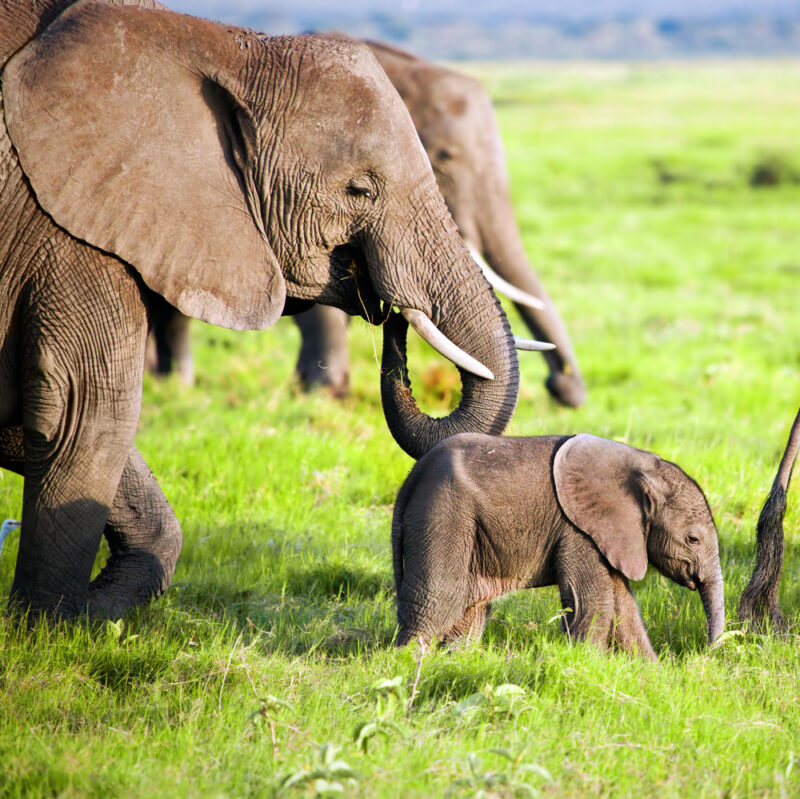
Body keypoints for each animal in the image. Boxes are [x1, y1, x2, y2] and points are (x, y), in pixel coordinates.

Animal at [392, 433, 725, 658]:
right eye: (692, 539)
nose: (704, 654)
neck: (642, 464)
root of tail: (411, 478)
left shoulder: (610, 534)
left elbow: (623, 605)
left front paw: (650, 675)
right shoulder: (579, 529)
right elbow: (594, 601)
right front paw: (587, 665)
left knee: (469, 609)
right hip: (443, 512)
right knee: (438, 599)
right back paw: (407, 664)